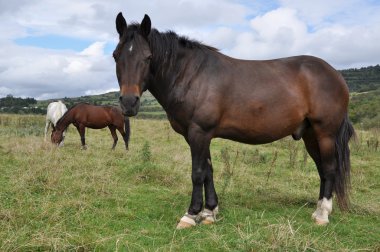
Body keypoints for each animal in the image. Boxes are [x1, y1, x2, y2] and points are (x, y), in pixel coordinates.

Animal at [112, 12, 354, 228]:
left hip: (325, 133)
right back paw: (318, 209)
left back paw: (322, 215)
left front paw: (191, 214)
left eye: (148, 57)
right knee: (322, 169)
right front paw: (209, 212)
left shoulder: (199, 132)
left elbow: (197, 173)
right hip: (310, 135)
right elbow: (208, 171)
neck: (191, 75)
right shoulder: (198, 136)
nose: (129, 102)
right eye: (116, 55)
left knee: (330, 169)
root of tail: (335, 74)